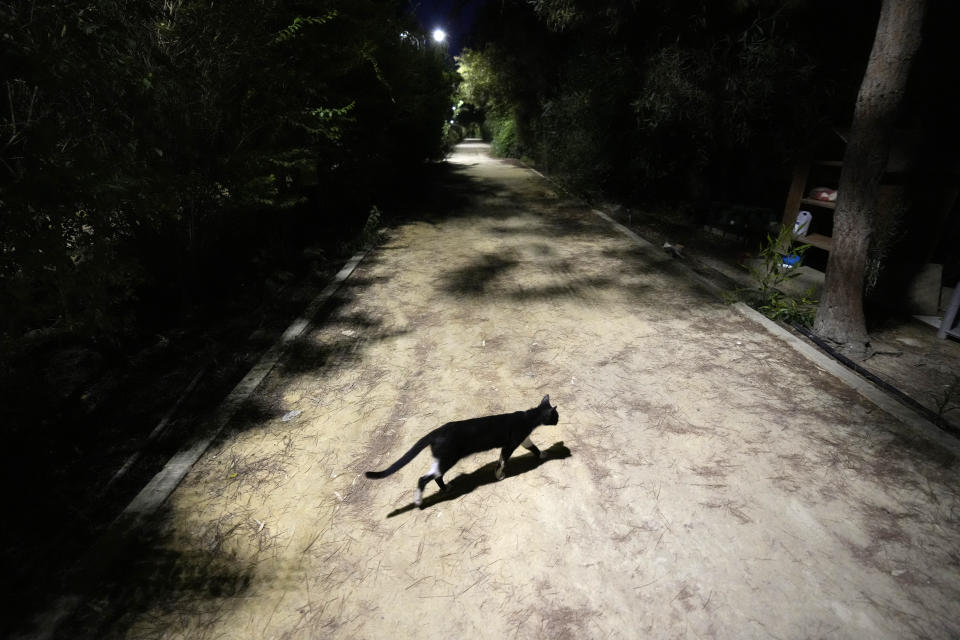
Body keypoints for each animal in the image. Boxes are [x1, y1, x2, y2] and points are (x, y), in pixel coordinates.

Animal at [364, 396, 560, 504]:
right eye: (556, 416)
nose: (559, 421)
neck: (529, 417)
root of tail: (436, 432)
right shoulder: (510, 444)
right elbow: (502, 461)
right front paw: (499, 475)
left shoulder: (524, 440)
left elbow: (533, 447)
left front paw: (542, 454)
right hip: (448, 458)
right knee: (425, 478)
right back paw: (419, 499)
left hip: (442, 459)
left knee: (436, 476)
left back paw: (446, 488)